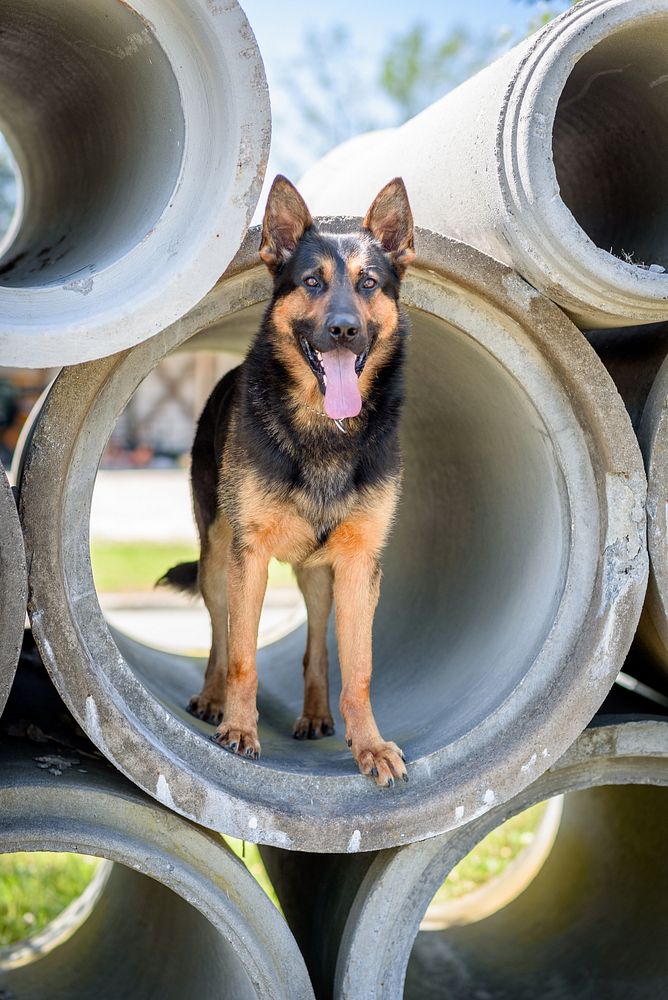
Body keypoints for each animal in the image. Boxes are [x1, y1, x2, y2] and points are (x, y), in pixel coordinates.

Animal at [160, 174, 412, 788]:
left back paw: (316, 713)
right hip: (218, 559)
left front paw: (369, 746)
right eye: (311, 281)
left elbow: (358, 669)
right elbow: (243, 656)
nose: (344, 330)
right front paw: (239, 729)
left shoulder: (358, 567)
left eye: (369, 283)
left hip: (319, 580)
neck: (325, 430)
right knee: (220, 635)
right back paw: (211, 699)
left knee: (316, 647)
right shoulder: (249, 555)